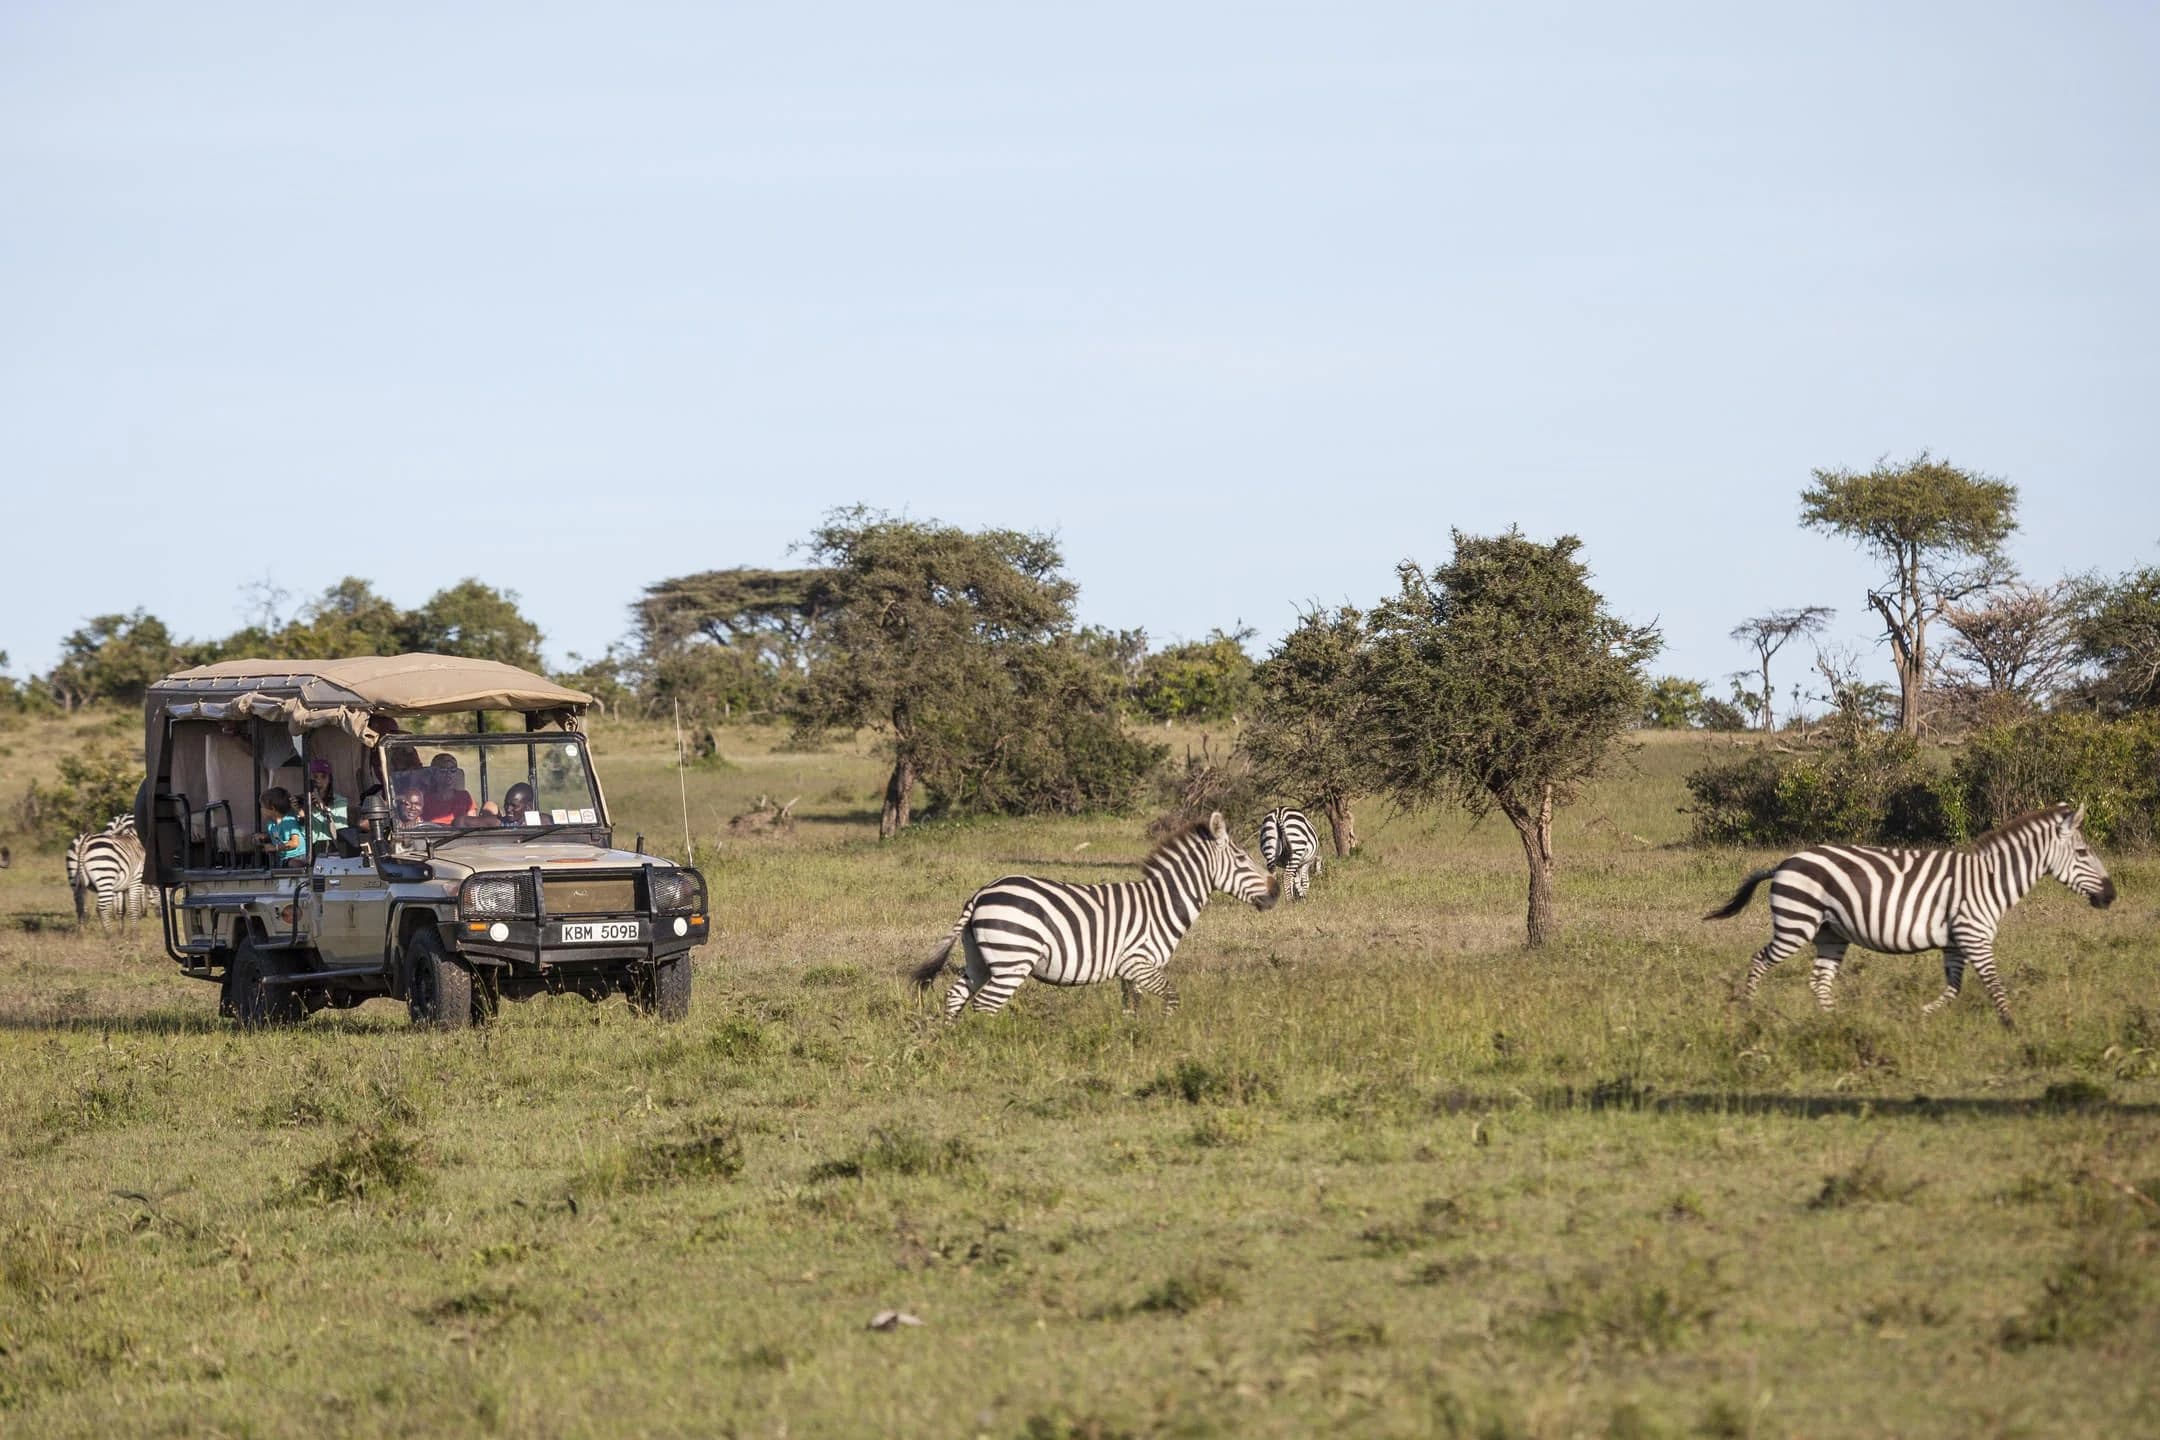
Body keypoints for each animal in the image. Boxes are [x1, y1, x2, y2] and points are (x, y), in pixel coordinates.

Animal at [912, 810, 1278, 1018]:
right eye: (1243, 859)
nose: (1276, 892)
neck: (1163, 903)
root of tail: (980, 894)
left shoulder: (1130, 973)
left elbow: (1132, 1009)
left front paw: (1135, 1041)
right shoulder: (1139, 962)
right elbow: (1172, 997)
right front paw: (1166, 1030)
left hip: (980, 958)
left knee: (956, 995)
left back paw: (951, 1042)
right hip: (1013, 960)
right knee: (985, 1005)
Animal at [1705, 803, 2116, 1028]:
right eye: (2083, 852)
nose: (2111, 896)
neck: (1989, 880)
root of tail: (1783, 862)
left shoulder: (1955, 943)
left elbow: (1953, 989)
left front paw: (1919, 1015)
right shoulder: (1974, 937)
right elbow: (1994, 985)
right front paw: (2013, 1027)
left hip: (1830, 932)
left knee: (1819, 981)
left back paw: (1835, 1022)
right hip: (1797, 924)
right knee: (1759, 960)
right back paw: (1749, 1010)